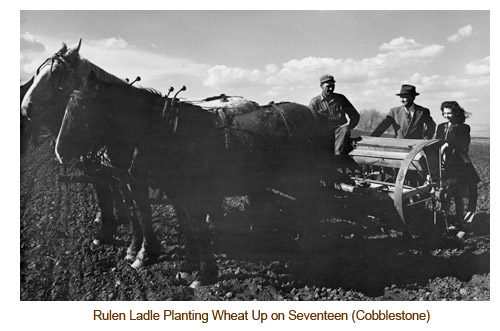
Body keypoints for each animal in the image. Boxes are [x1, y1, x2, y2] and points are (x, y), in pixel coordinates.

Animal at [55, 69, 336, 286]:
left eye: (82, 108)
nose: (60, 151)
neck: (168, 134)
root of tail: (314, 116)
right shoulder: (171, 191)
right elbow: (183, 226)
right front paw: (186, 266)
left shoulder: (183, 191)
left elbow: (194, 227)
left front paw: (202, 274)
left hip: (302, 181)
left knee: (311, 212)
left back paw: (304, 259)